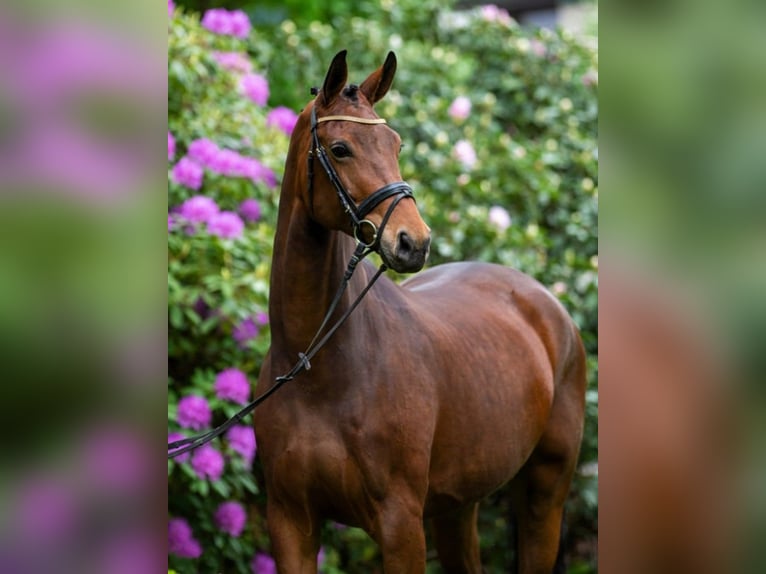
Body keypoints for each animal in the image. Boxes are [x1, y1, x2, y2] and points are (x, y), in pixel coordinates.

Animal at [253, 50, 586, 574]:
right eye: (341, 148)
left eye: (396, 143)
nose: (414, 241)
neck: (315, 370)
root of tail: (547, 303)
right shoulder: (291, 523)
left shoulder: (400, 525)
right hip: (457, 505)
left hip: (544, 492)